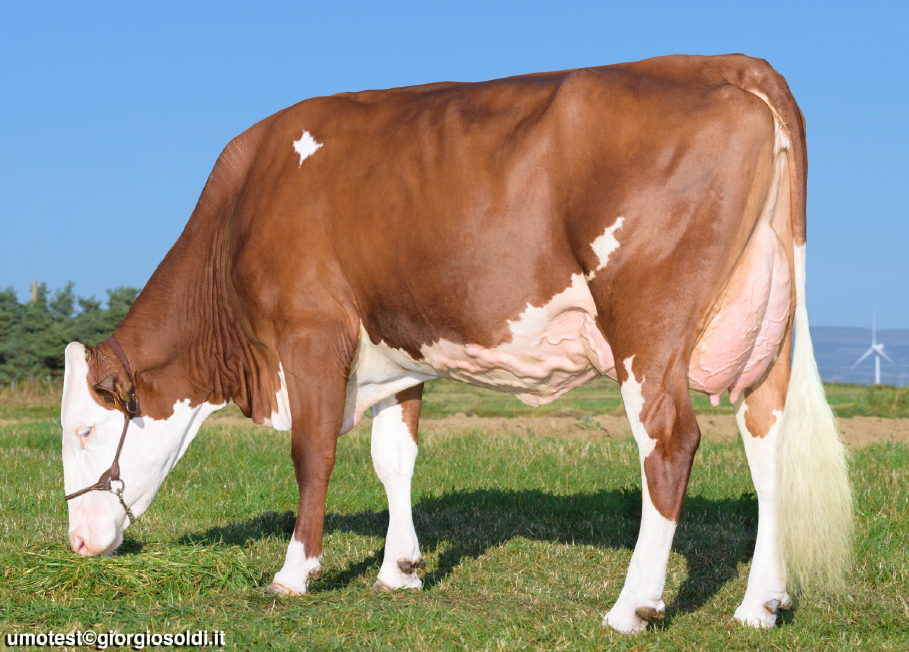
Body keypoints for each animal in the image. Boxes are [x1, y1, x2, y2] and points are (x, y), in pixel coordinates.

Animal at [61, 54, 852, 633]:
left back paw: (631, 606)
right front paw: (399, 570)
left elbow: (313, 454)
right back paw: (760, 604)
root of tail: (725, 63)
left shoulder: (311, 332)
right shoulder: (393, 350)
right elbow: (394, 457)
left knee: (670, 441)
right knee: (766, 442)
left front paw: (293, 573)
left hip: (646, 328)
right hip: (768, 330)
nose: (75, 545)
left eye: (84, 429)